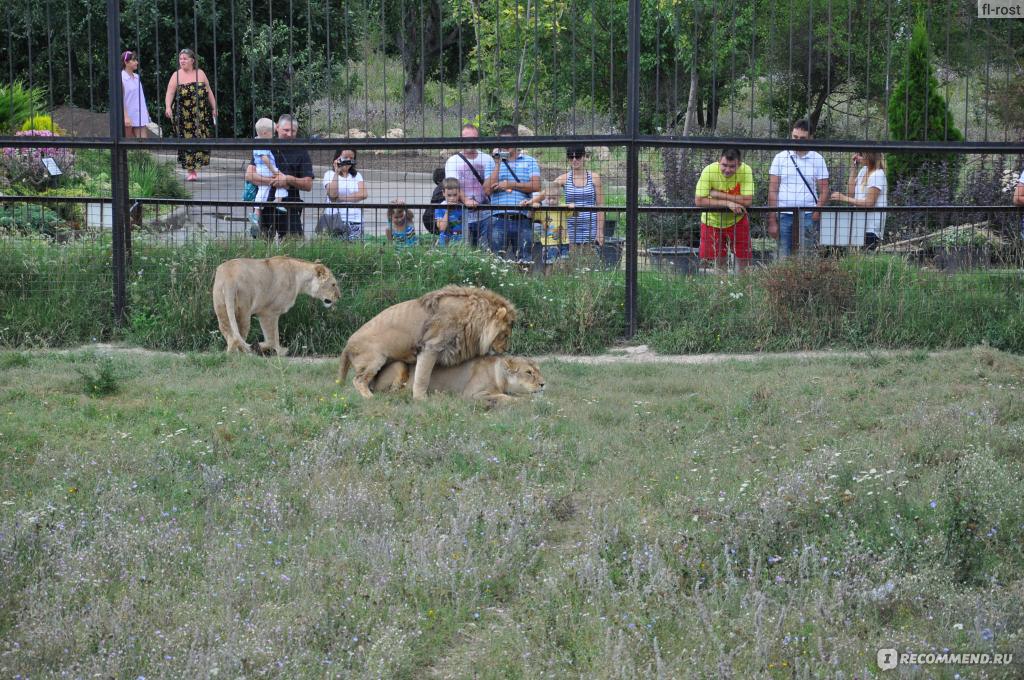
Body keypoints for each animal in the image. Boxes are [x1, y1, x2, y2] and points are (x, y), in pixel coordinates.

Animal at [210, 256, 339, 358]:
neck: (300, 278)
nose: (339, 297)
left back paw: (232, 354)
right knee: (237, 336)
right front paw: (279, 351)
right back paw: (245, 355)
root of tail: (229, 278)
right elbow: (273, 337)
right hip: (244, 311)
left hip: (221, 308)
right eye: (333, 284)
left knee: (230, 335)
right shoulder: (268, 312)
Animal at [337, 284, 516, 399]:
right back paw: (370, 397)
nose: (505, 350)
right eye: (505, 335)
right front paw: (421, 399)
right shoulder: (430, 347)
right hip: (376, 359)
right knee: (358, 380)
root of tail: (347, 345)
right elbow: (422, 376)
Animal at [368, 356, 544, 403]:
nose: (543, 384)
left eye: (538, 370)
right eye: (528, 372)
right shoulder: (471, 394)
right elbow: (502, 396)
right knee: (390, 394)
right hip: (399, 365)